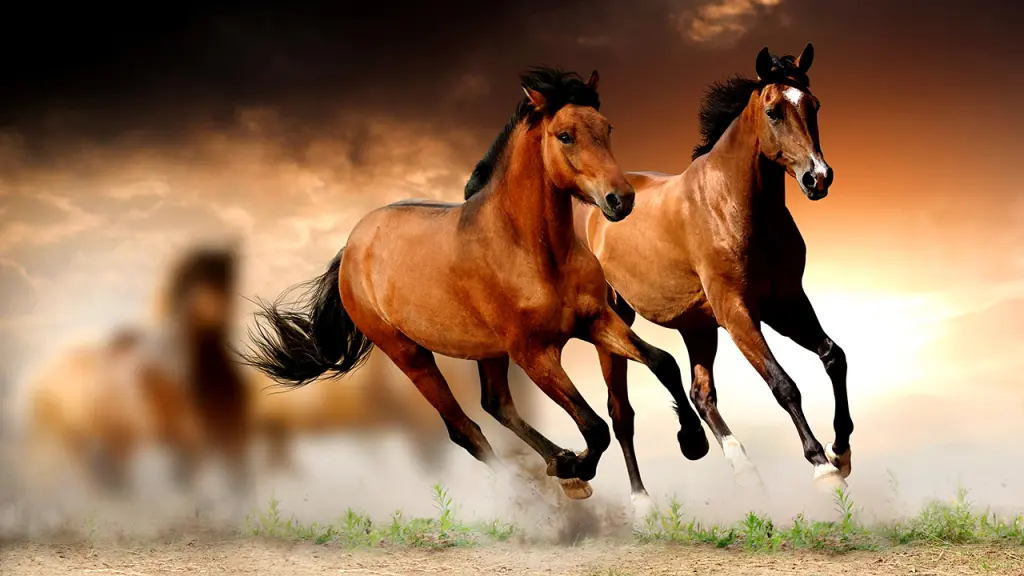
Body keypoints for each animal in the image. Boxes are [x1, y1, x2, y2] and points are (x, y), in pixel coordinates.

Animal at [20, 244, 252, 509]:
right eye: (197, 276)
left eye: (227, 275)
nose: (215, 309)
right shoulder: (186, 436)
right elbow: (189, 476)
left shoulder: (228, 434)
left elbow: (235, 479)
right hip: (87, 439)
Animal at [240, 67, 710, 502]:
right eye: (565, 136)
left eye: (606, 127)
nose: (621, 200)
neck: (533, 251)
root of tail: (352, 247)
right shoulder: (533, 353)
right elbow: (594, 427)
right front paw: (577, 467)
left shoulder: (595, 321)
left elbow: (663, 362)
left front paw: (693, 442)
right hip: (410, 354)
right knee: (465, 429)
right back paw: (538, 491)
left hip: (489, 351)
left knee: (496, 404)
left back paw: (557, 464)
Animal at [573, 43, 851, 498]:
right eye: (773, 111)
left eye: (814, 105)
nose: (818, 177)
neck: (733, 204)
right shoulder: (736, 311)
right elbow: (783, 384)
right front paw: (821, 465)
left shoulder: (786, 304)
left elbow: (833, 356)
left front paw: (840, 451)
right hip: (615, 321)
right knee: (621, 412)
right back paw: (641, 499)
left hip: (698, 327)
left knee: (700, 394)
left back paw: (738, 465)